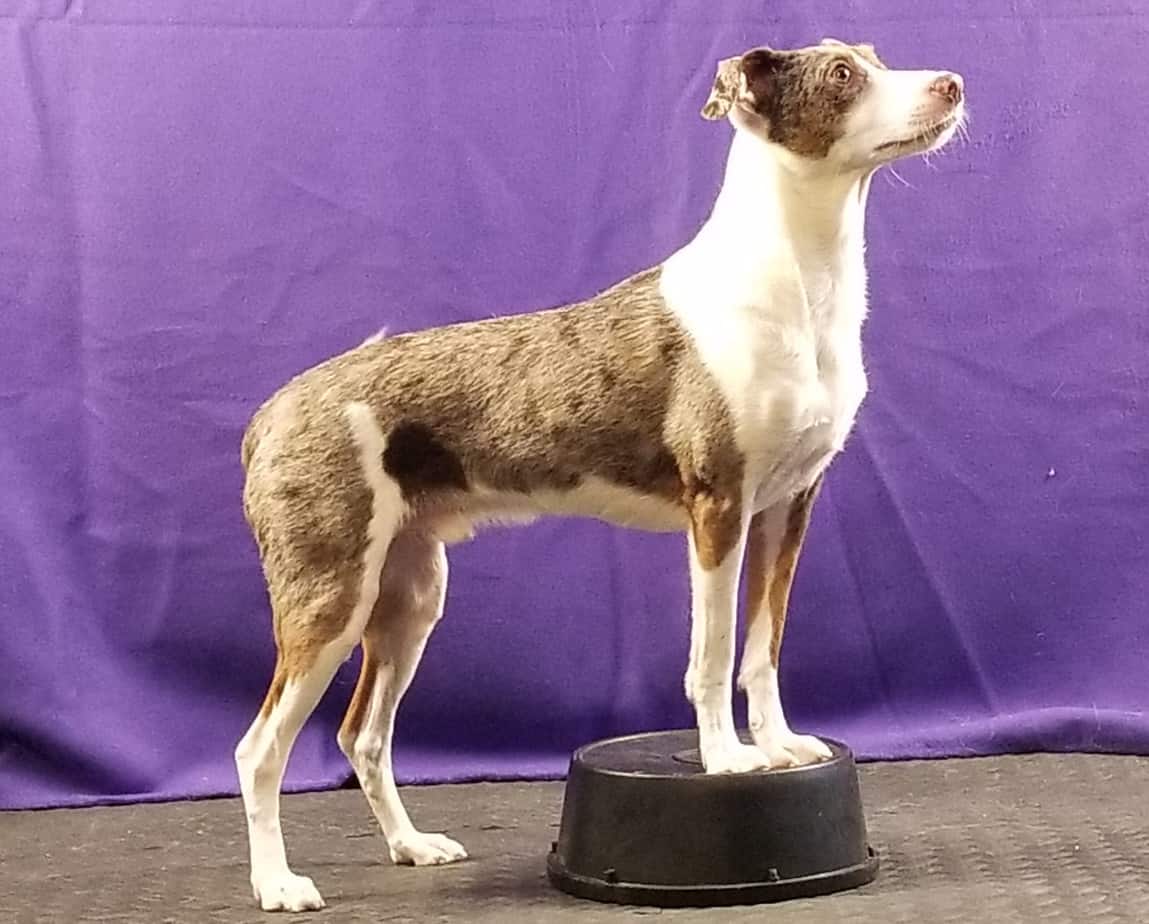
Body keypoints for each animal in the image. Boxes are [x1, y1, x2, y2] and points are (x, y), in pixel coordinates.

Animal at [235, 39, 969, 914]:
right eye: (841, 78)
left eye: (871, 58)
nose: (954, 85)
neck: (796, 285)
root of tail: (269, 415)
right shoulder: (717, 506)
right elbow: (712, 653)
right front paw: (728, 760)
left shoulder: (787, 506)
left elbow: (762, 647)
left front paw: (782, 744)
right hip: (328, 597)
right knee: (259, 749)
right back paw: (279, 885)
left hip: (409, 596)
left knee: (363, 734)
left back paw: (411, 846)